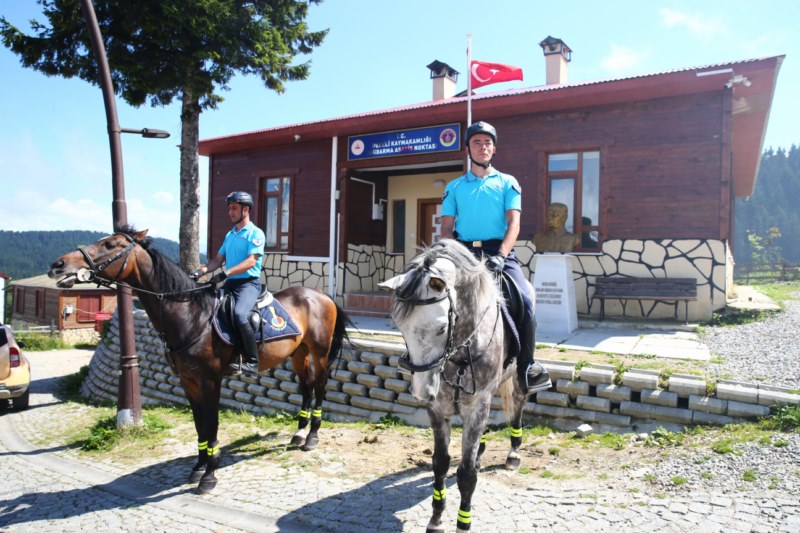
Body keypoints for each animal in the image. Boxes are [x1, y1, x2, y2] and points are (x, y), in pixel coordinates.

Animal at [48, 227, 348, 492]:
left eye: (110, 244)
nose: (58, 264)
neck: (190, 314)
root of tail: (322, 295)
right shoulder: (188, 381)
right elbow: (199, 424)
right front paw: (199, 467)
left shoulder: (210, 381)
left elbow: (211, 424)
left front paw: (210, 476)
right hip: (298, 353)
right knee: (306, 387)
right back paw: (298, 433)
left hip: (320, 353)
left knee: (320, 387)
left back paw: (312, 437)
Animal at [380, 239, 528, 528]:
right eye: (399, 326)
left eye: (440, 328)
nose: (421, 391)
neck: (460, 349)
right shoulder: (438, 408)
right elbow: (440, 462)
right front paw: (436, 519)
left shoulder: (477, 404)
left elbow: (467, 474)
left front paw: (463, 522)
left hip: (517, 378)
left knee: (518, 403)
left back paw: (513, 453)